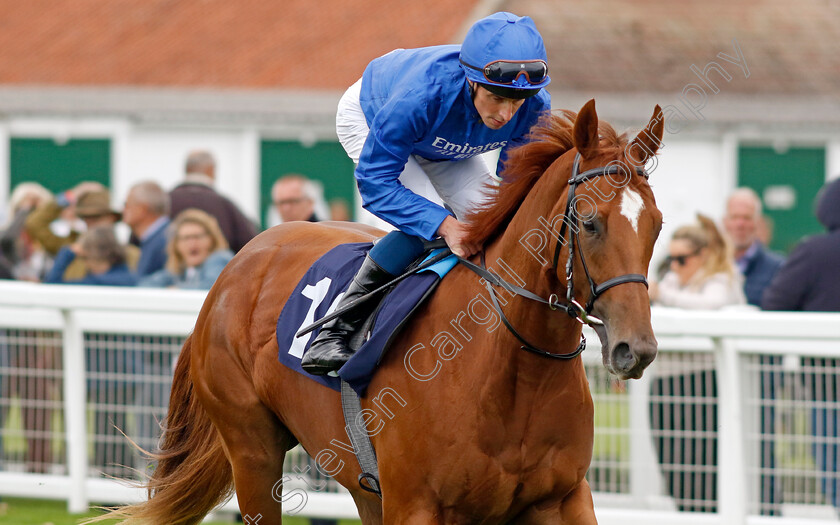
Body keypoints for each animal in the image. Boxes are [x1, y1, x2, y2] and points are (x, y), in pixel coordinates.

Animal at [98, 99, 664, 524]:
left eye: (656, 224)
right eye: (589, 222)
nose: (634, 349)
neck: (512, 371)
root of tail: (239, 260)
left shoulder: (562, 499)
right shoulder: (417, 505)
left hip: (361, 483)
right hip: (253, 450)